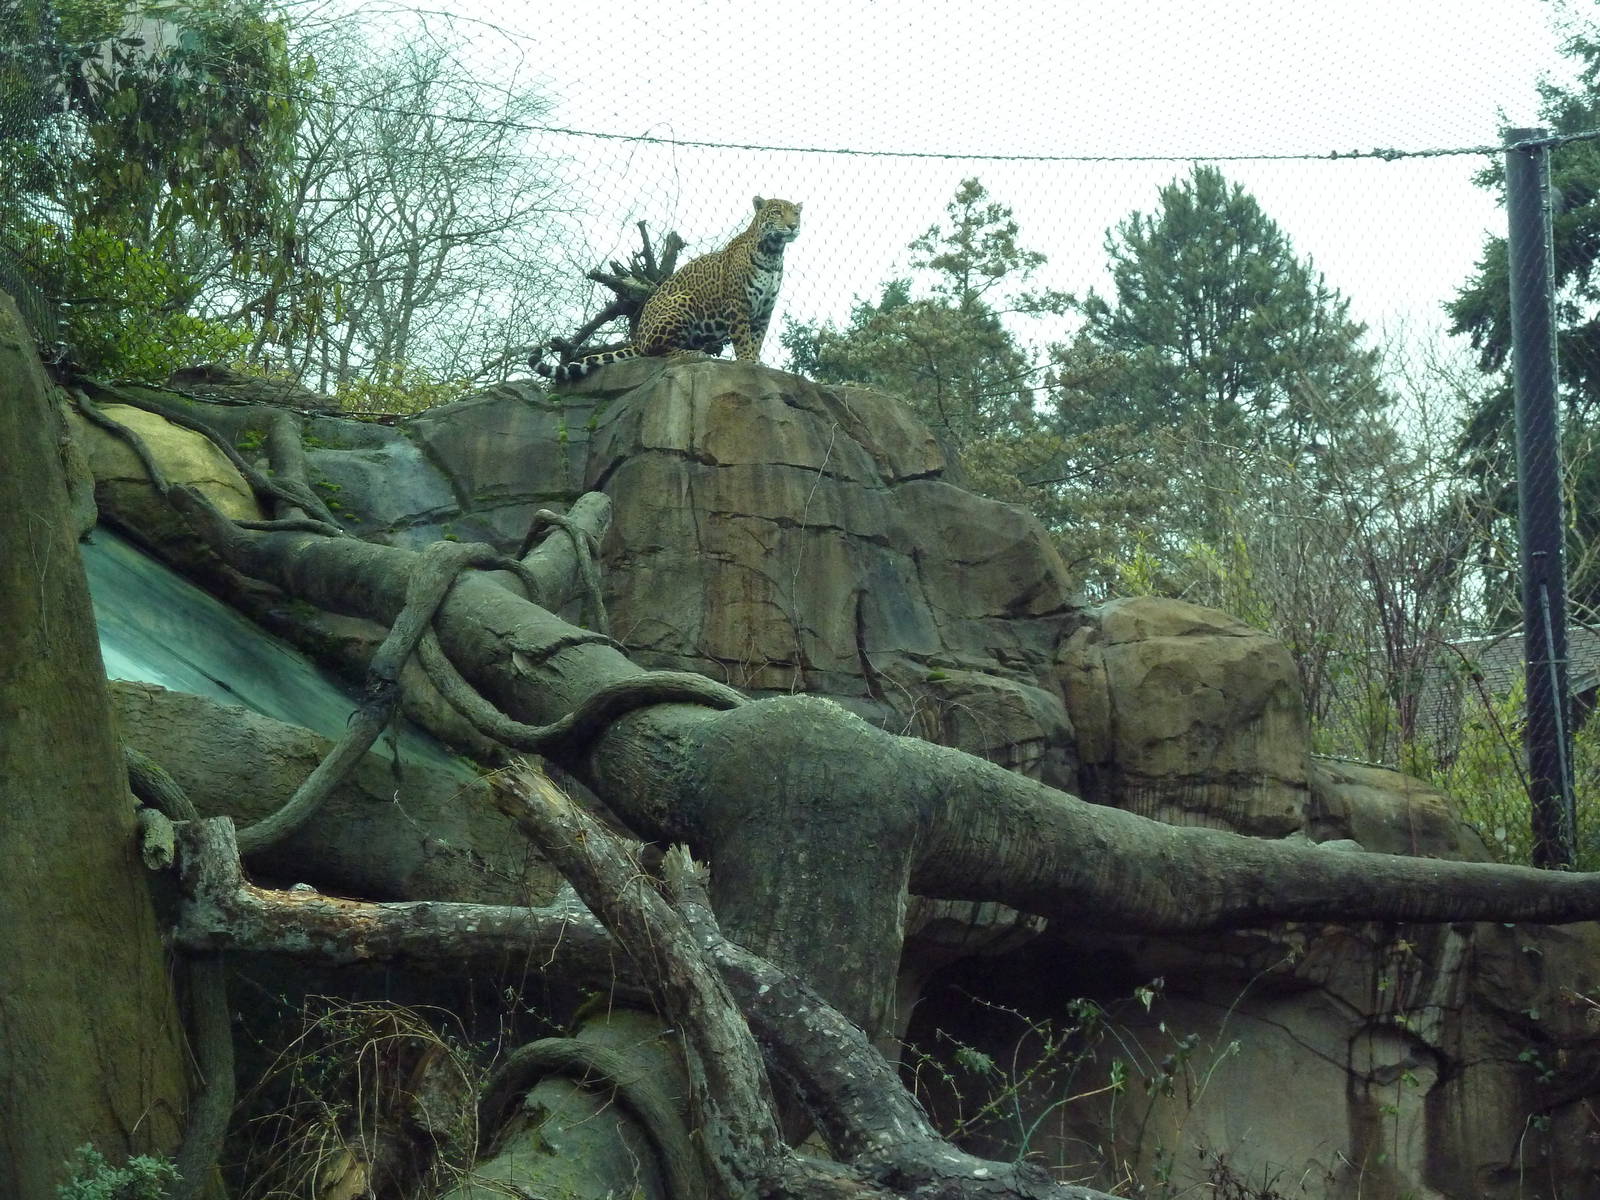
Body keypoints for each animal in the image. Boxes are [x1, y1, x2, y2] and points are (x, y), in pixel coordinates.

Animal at [535, 195, 802, 382]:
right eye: (777, 212)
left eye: (796, 214)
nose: (793, 226)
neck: (773, 254)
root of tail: (638, 337)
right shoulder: (737, 304)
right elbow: (743, 337)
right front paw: (747, 362)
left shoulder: (764, 310)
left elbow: (757, 338)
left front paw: (757, 361)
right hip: (682, 302)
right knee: (655, 353)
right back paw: (691, 355)